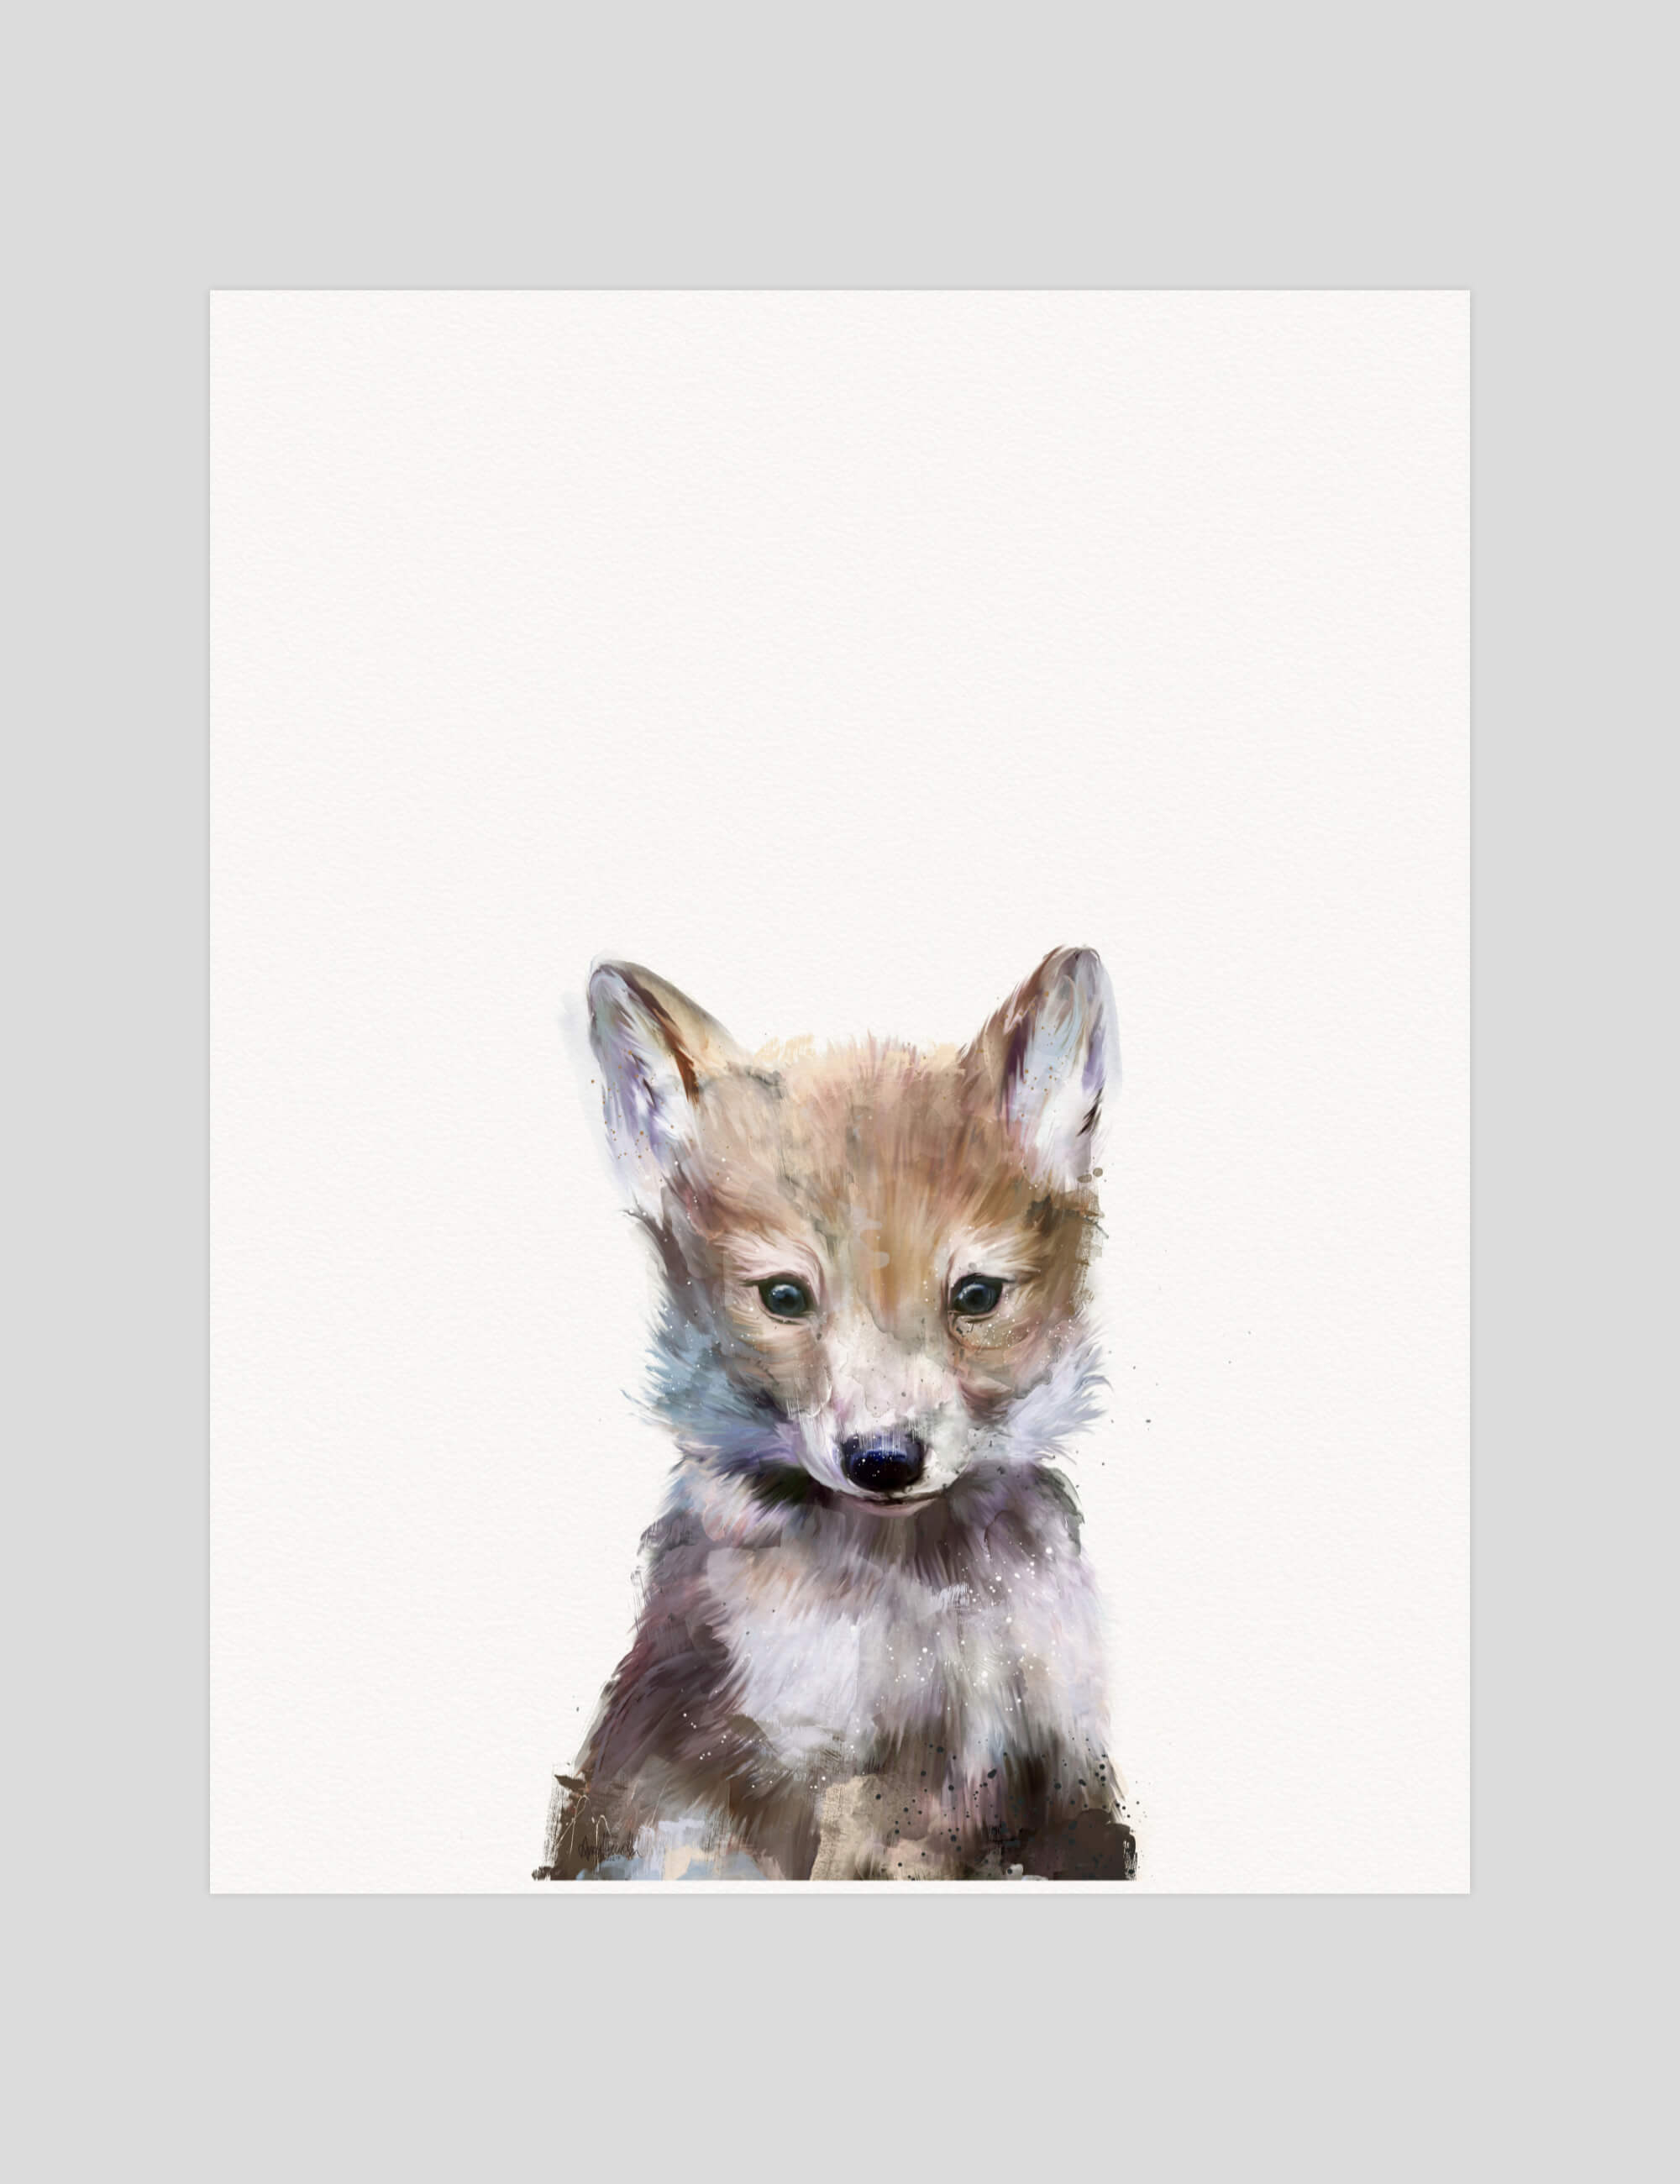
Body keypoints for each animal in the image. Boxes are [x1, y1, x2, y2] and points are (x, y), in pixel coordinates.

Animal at [535, 947, 1136, 1881]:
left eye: (975, 1296)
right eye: (784, 1296)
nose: (883, 1461)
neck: (921, 1603)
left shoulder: (1063, 1770)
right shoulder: (807, 1778)